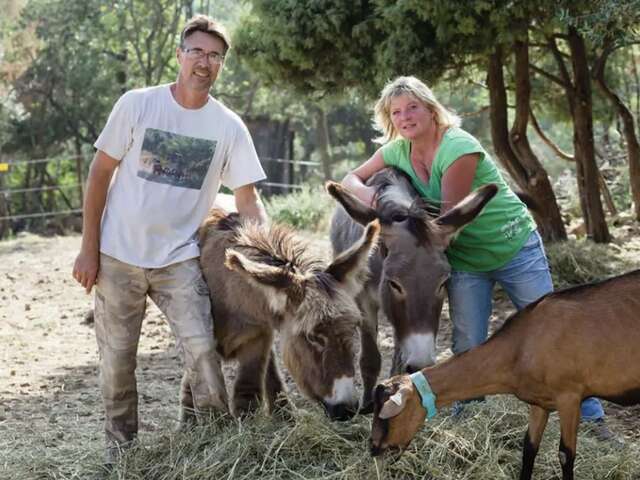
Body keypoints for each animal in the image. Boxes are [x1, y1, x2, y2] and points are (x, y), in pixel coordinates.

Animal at [192, 208, 378, 418]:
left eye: (354, 329)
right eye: (313, 337)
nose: (347, 409)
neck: (231, 295)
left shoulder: (259, 338)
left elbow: (249, 387)